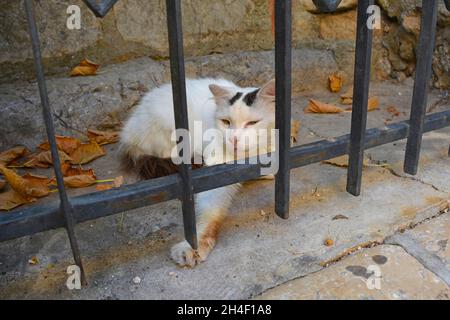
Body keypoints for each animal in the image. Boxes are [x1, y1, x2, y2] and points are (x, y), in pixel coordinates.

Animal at [118, 78, 274, 268]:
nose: (234, 140)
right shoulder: (217, 172)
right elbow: (210, 212)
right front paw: (194, 246)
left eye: (252, 123)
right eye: (226, 122)